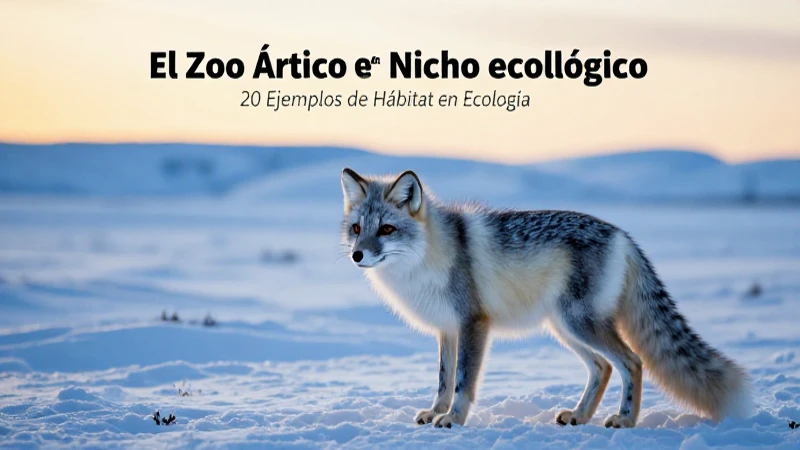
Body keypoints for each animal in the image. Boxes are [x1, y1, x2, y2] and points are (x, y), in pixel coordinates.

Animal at [340, 168, 751, 429]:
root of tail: (623, 235)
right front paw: (434, 412)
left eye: (387, 229)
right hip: (565, 328)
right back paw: (580, 416)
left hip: (579, 324)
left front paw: (454, 419)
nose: (357, 256)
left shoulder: (473, 324)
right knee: (602, 368)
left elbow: (462, 383)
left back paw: (625, 420)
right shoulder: (447, 329)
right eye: (357, 229)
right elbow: (443, 380)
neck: (427, 258)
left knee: (632, 362)